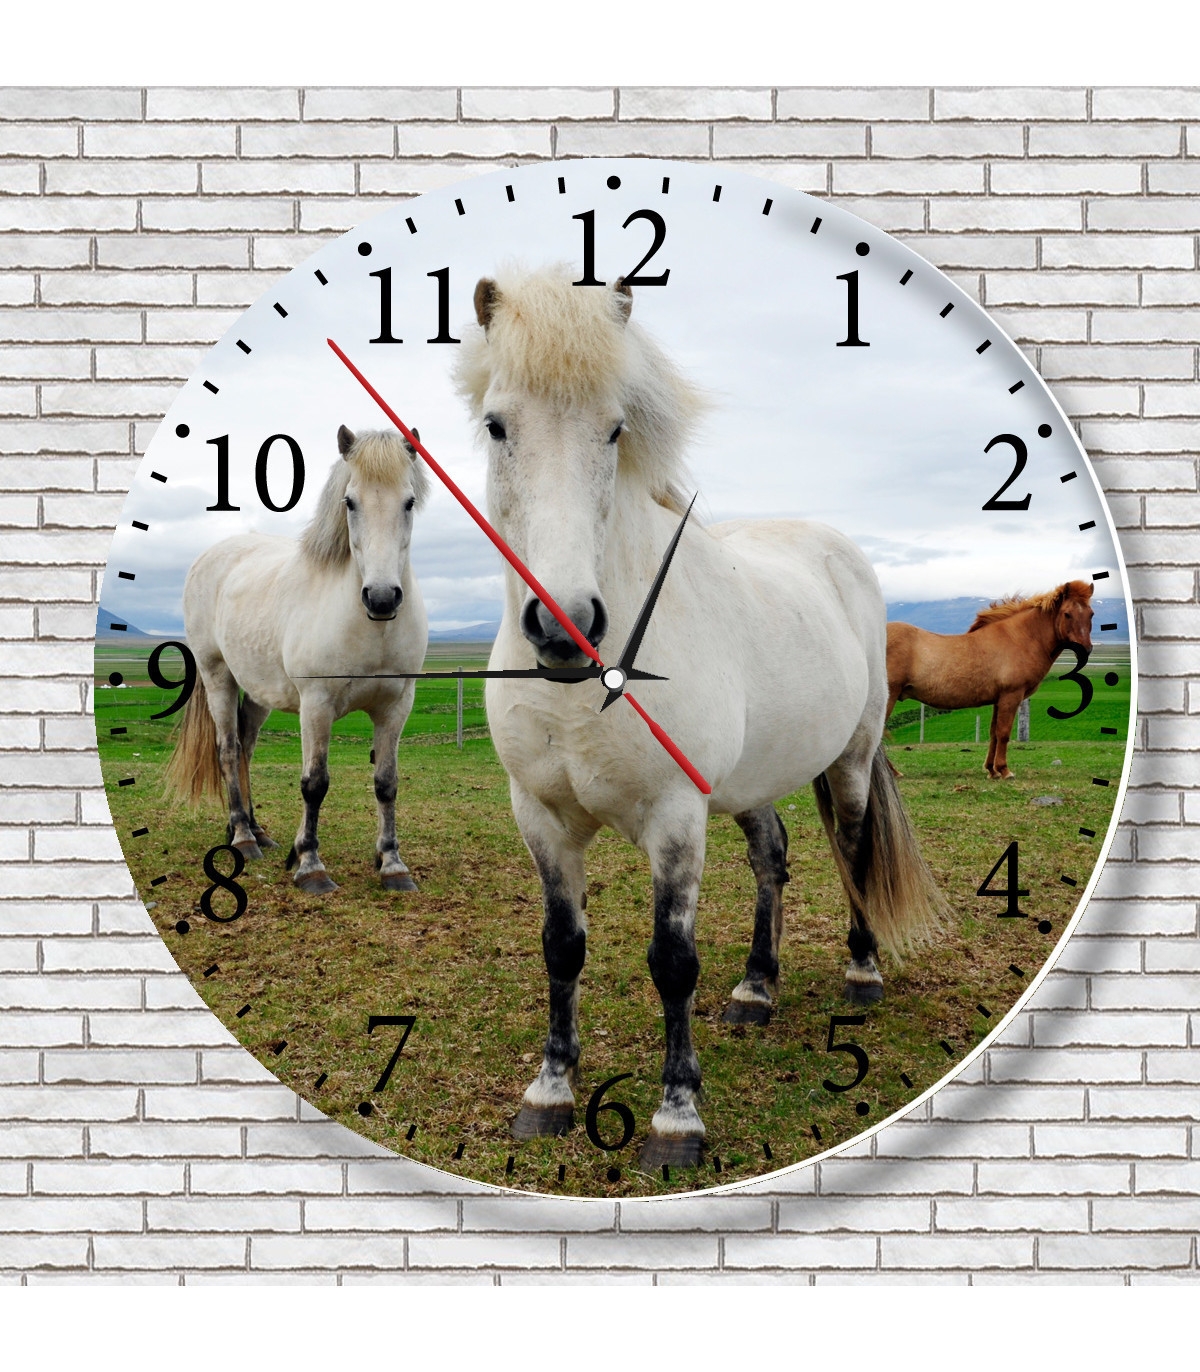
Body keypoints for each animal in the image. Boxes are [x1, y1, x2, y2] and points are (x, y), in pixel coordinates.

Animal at [164, 425, 430, 895]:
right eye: (350, 501)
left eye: (409, 501)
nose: (381, 598)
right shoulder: (316, 705)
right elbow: (314, 784)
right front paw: (309, 865)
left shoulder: (396, 707)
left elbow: (386, 783)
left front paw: (392, 864)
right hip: (219, 678)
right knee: (229, 750)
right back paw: (243, 836)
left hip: (257, 692)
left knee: (247, 747)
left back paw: (258, 830)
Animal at [453, 265, 946, 1169]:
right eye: (498, 425)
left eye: (615, 430)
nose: (564, 625)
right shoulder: (540, 816)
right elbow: (561, 947)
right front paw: (549, 1092)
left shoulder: (676, 818)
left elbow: (672, 960)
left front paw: (676, 1117)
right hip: (752, 782)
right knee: (772, 856)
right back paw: (756, 988)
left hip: (852, 757)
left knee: (853, 847)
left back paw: (861, 975)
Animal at [886, 582, 1094, 780]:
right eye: (1067, 614)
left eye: (1091, 614)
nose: (1086, 650)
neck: (1019, 638)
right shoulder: (1011, 697)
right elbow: (1003, 733)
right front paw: (1004, 770)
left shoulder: (998, 700)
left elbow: (994, 733)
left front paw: (991, 770)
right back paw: (894, 772)